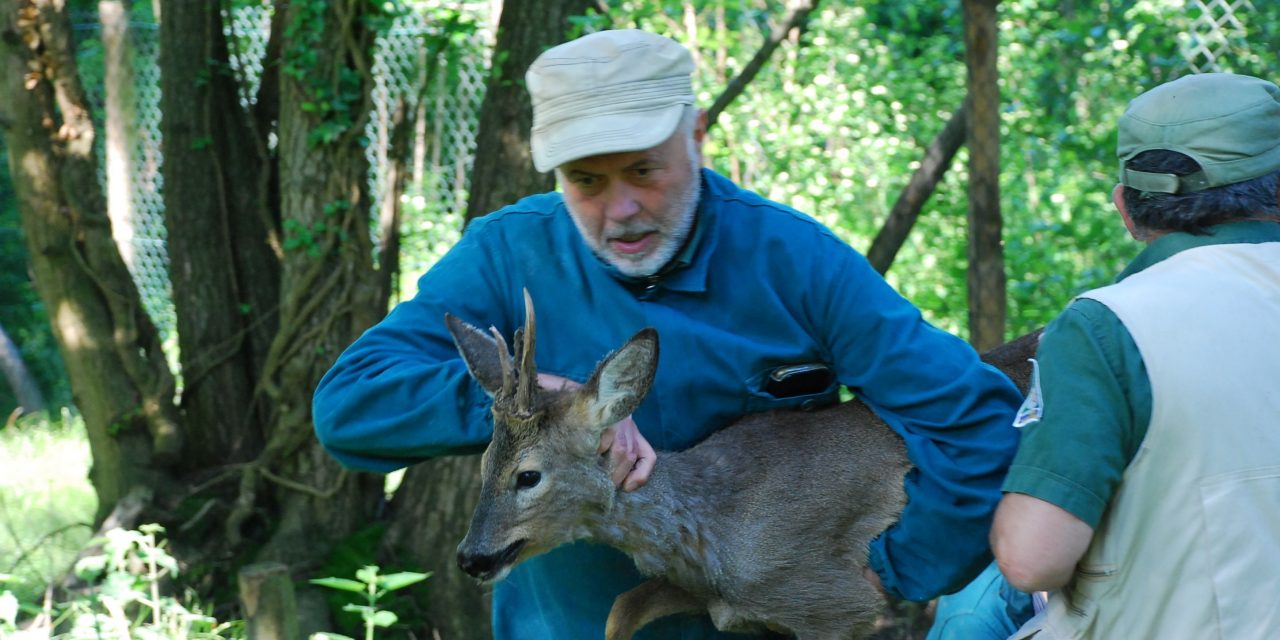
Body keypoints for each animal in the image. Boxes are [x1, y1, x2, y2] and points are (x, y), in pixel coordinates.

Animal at [450, 294, 1039, 640]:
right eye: (483, 464)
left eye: (528, 475)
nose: (471, 557)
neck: (716, 526)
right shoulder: (716, 601)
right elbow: (619, 611)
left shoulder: (839, 603)